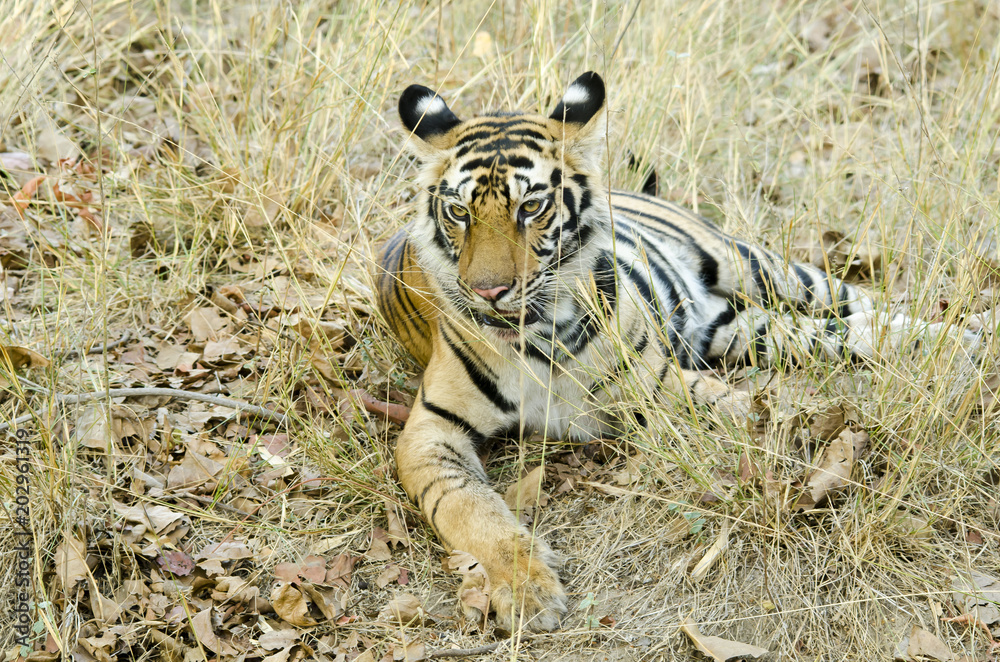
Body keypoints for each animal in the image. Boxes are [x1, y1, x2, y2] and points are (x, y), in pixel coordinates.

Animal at [375, 72, 976, 632]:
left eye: (532, 206)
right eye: (458, 213)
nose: (489, 292)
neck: (536, 334)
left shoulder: (661, 385)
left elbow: (741, 412)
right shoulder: (430, 429)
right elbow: (469, 508)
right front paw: (527, 590)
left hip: (761, 268)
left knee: (860, 302)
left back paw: (966, 334)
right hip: (749, 329)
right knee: (843, 331)